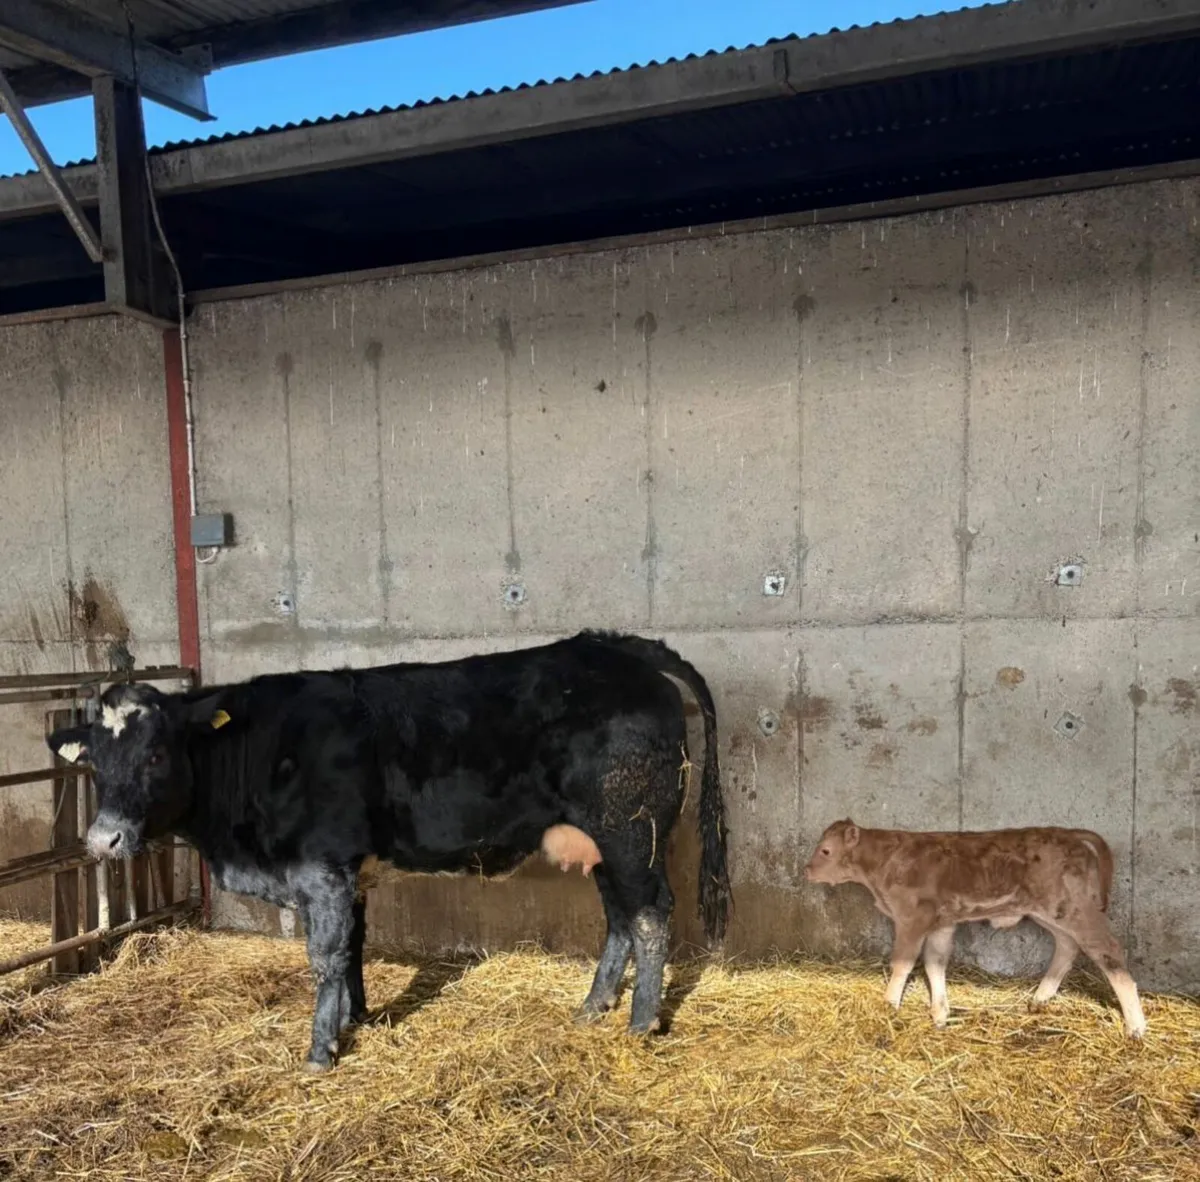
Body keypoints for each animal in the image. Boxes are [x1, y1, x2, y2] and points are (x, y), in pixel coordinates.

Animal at [47, 631, 732, 1072]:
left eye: (156, 753)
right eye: (94, 762)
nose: (103, 839)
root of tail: (614, 646)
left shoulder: (322, 870)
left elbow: (324, 957)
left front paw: (320, 1051)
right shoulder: (349, 874)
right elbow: (353, 947)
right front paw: (354, 1020)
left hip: (631, 832)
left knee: (649, 914)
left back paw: (641, 1021)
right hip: (605, 844)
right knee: (620, 916)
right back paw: (593, 1008)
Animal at [803, 819, 1146, 1037]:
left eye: (825, 850)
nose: (806, 870)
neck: (882, 865)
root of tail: (1069, 834)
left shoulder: (911, 919)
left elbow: (902, 963)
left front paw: (888, 1004)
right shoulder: (942, 923)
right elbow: (935, 963)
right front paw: (940, 1014)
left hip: (1076, 909)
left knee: (1109, 951)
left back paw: (1136, 1026)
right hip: (1050, 913)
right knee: (1068, 946)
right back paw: (1039, 999)